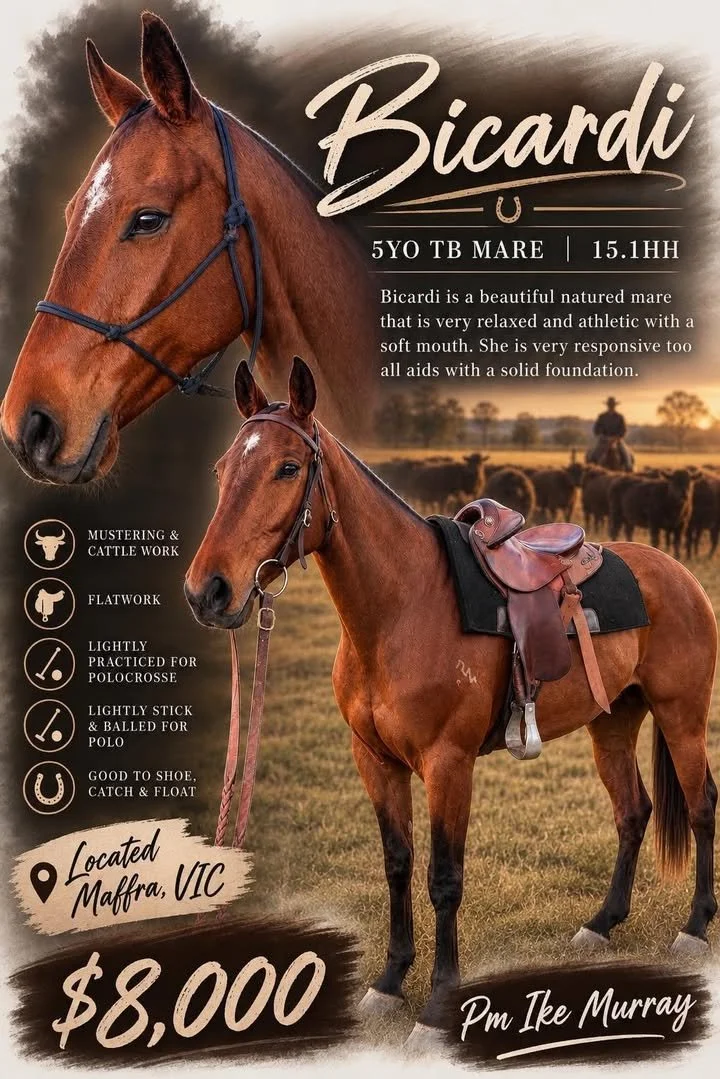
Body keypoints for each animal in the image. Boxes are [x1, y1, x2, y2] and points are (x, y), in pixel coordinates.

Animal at [185, 357, 717, 1048]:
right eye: (224, 468)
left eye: (288, 467)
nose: (209, 591)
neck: (402, 607)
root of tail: (678, 573)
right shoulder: (375, 762)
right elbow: (397, 864)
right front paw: (389, 983)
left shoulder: (448, 764)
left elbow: (444, 878)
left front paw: (437, 1007)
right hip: (612, 724)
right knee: (633, 812)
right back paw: (601, 924)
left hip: (683, 716)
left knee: (701, 806)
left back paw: (695, 927)